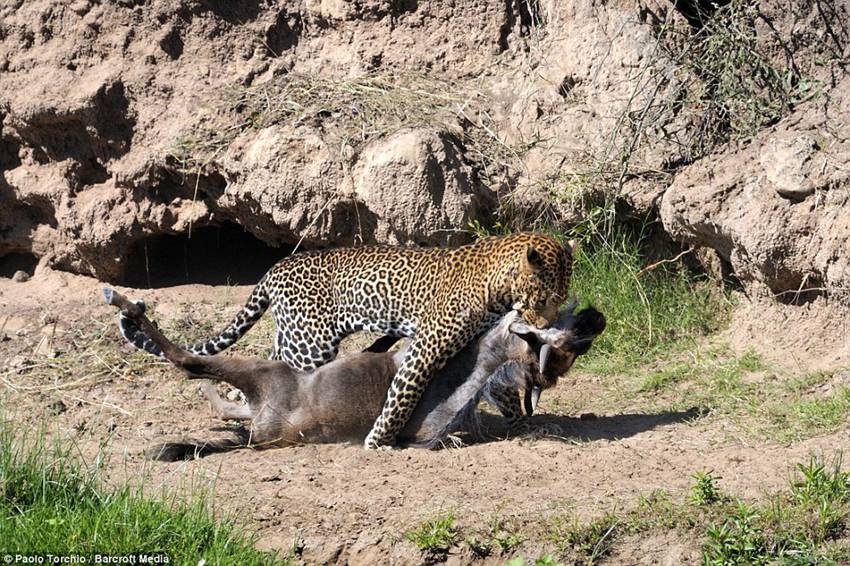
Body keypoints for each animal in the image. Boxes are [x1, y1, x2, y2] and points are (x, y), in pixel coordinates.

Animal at [119, 231, 572, 448]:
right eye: (545, 299)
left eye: (561, 299)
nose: (548, 324)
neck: (499, 287)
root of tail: (274, 269)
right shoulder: (426, 350)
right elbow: (401, 396)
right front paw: (378, 441)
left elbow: (499, 384)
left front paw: (521, 421)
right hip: (310, 342)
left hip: (292, 337)